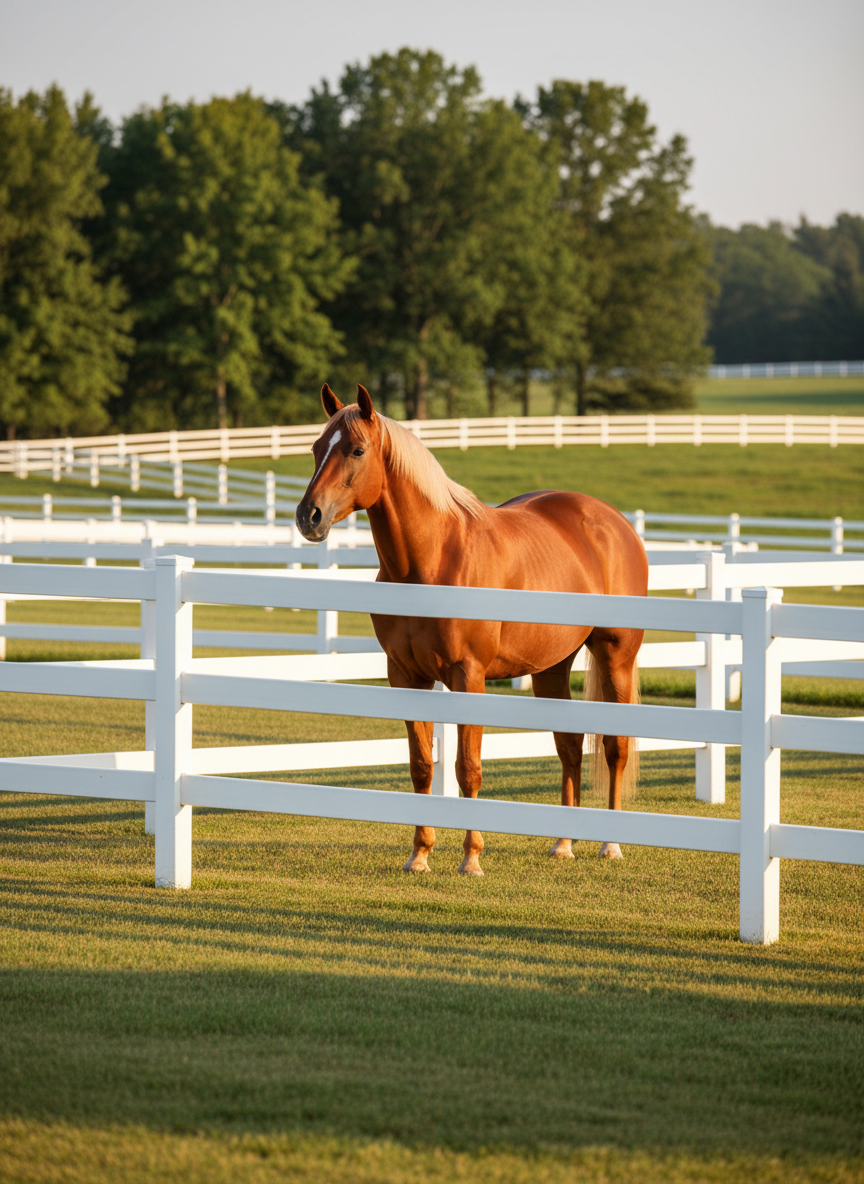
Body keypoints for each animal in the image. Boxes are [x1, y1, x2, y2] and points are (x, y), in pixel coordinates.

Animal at [295, 383, 648, 876]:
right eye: (315, 448)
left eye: (357, 450)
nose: (309, 517)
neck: (433, 560)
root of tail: (614, 522)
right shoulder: (406, 677)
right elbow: (422, 766)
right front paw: (419, 855)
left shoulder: (469, 676)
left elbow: (468, 767)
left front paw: (471, 858)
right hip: (552, 666)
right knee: (569, 745)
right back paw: (563, 844)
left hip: (616, 654)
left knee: (615, 747)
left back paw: (610, 845)